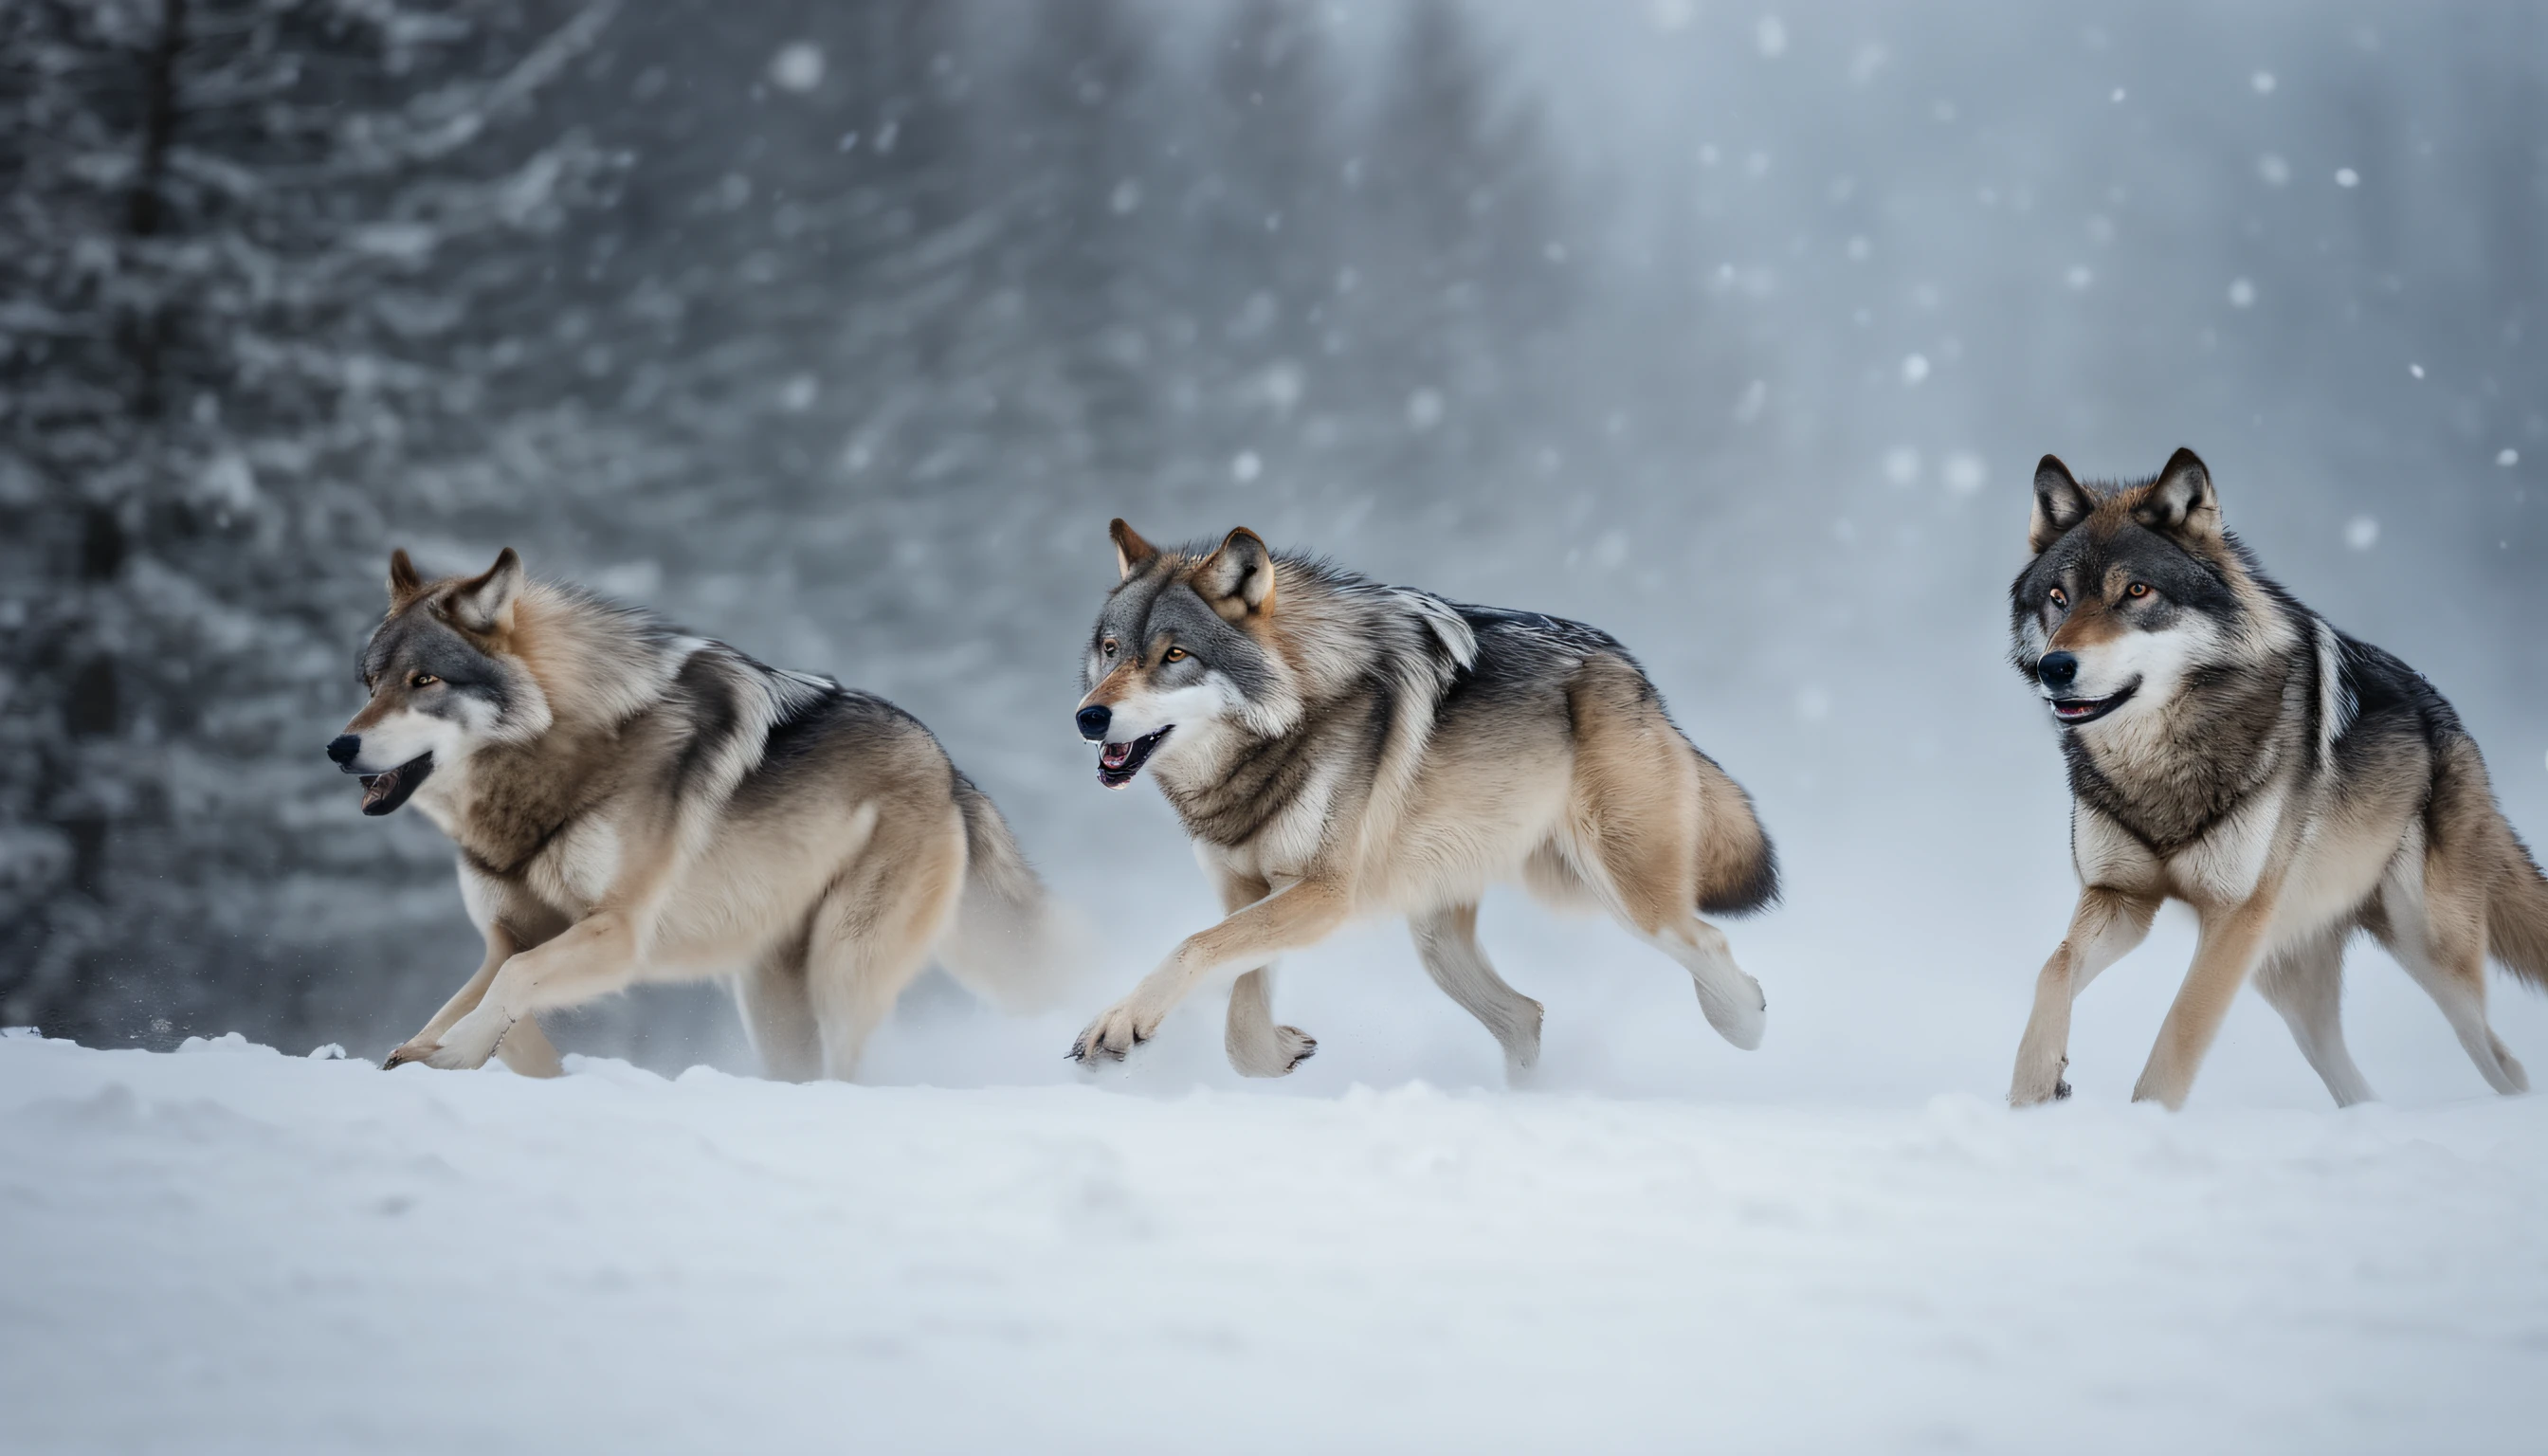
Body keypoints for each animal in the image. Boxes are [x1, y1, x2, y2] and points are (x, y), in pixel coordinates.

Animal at [331, 545, 1065, 1081]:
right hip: (772, 999)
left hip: (841, 969)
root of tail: (950, 771)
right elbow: (472, 1002)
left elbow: (511, 986)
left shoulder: (617, 934)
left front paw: (458, 1053)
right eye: (370, 685)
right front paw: (440, 1052)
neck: (562, 759)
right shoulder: (510, 935)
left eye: (424, 681)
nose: (338, 747)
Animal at [1054, 525, 1773, 1081]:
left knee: (1706, 943)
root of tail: (1636, 674)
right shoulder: (1249, 893)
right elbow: (1238, 1024)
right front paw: (1282, 1051)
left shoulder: (1325, 894)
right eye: (1112, 650)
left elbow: (1193, 948)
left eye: (1175, 654)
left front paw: (1121, 1023)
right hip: (1439, 937)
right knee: (1525, 1016)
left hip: (1615, 888)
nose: (1089, 717)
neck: (1290, 721)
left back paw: (1747, 1022)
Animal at [2008, 451, 2548, 1111]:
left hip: (2430, 951)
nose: (2053, 667)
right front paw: (2033, 1091)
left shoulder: (2233, 918)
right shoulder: (2121, 897)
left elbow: (2179, 1034)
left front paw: (2144, 1121)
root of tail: (2448, 717)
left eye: (2136, 591)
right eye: (2058, 598)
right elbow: (2052, 970)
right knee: (2355, 1084)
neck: (2160, 761)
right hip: (2286, 979)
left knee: (2503, 1060)